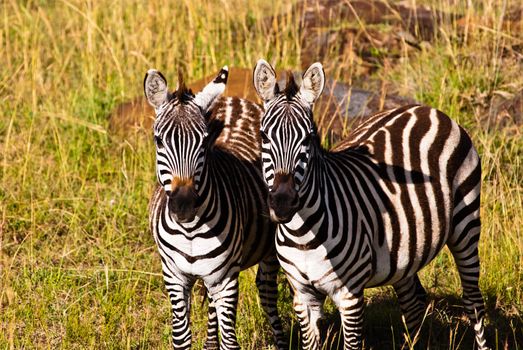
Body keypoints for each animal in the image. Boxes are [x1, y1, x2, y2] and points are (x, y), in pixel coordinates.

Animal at [145, 66, 288, 350]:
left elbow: (231, 342)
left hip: (266, 253)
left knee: (267, 293)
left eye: (203, 142)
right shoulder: (174, 276)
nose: (183, 206)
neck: (190, 230)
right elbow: (181, 338)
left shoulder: (226, 279)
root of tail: (236, 99)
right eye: (159, 141)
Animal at [252, 59, 490, 350]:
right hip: (406, 249)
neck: (302, 234)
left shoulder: (350, 296)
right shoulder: (302, 295)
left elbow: (352, 343)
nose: (283, 203)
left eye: (309, 138)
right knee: (413, 302)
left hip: (466, 223)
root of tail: (428, 109)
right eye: (264, 136)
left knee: (473, 301)